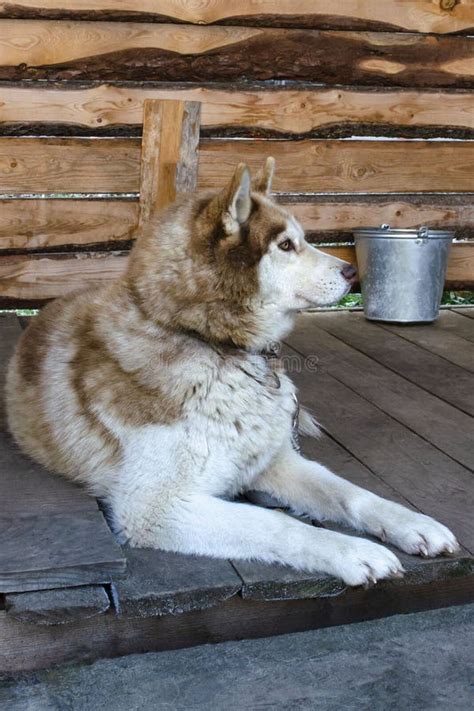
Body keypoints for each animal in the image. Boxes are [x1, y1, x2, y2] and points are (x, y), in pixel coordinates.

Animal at [6, 163, 460, 588]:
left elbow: (350, 493)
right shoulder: (155, 507)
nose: (352, 272)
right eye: (286, 245)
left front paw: (412, 524)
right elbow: (279, 524)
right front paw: (352, 551)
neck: (212, 342)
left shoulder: (277, 462)